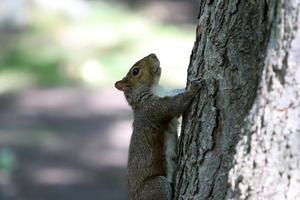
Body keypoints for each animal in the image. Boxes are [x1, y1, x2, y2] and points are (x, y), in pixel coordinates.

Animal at [115, 53, 204, 200]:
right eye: (135, 71)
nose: (153, 54)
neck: (156, 89)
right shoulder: (153, 109)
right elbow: (174, 105)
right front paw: (193, 89)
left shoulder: (168, 94)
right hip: (157, 185)